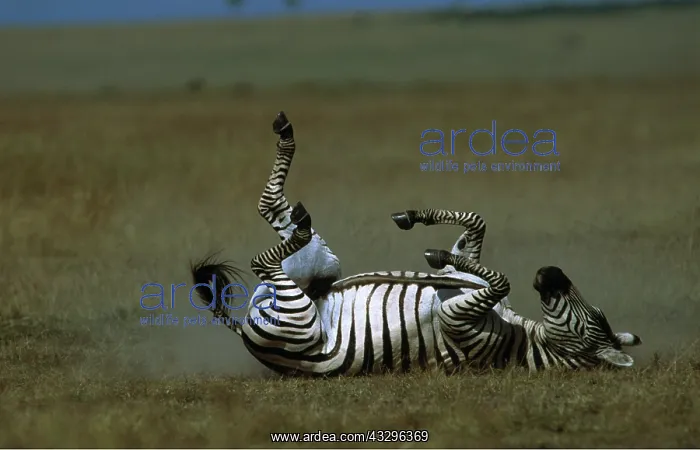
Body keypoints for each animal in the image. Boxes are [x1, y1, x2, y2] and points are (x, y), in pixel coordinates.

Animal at [191, 202, 642, 376]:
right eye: (595, 315)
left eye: (586, 324)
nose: (551, 271)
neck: (519, 338)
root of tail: (246, 331)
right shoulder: (468, 284)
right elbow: (476, 225)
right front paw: (420, 226)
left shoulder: (456, 318)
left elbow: (499, 278)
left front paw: (436, 254)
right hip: (310, 278)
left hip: (295, 313)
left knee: (263, 262)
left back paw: (296, 219)